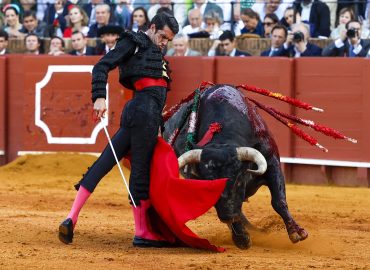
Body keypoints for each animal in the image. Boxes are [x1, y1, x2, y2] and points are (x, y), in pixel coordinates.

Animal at [163, 84, 308, 249]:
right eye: (209, 185)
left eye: (238, 180)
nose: (227, 216)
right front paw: (241, 238)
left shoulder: (272, 162)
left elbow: (278, 201)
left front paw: (296, 232)